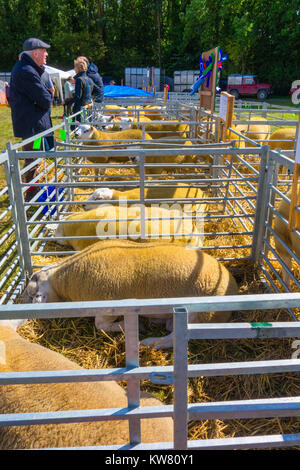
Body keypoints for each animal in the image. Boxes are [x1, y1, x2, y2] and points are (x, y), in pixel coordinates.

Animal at [24, 239, 238, 348]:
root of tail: (233, 289)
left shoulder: (108, 306)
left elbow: (100, 326)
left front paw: (125, 326)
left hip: (199, 313)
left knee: (175, 338)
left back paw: (150, 341)